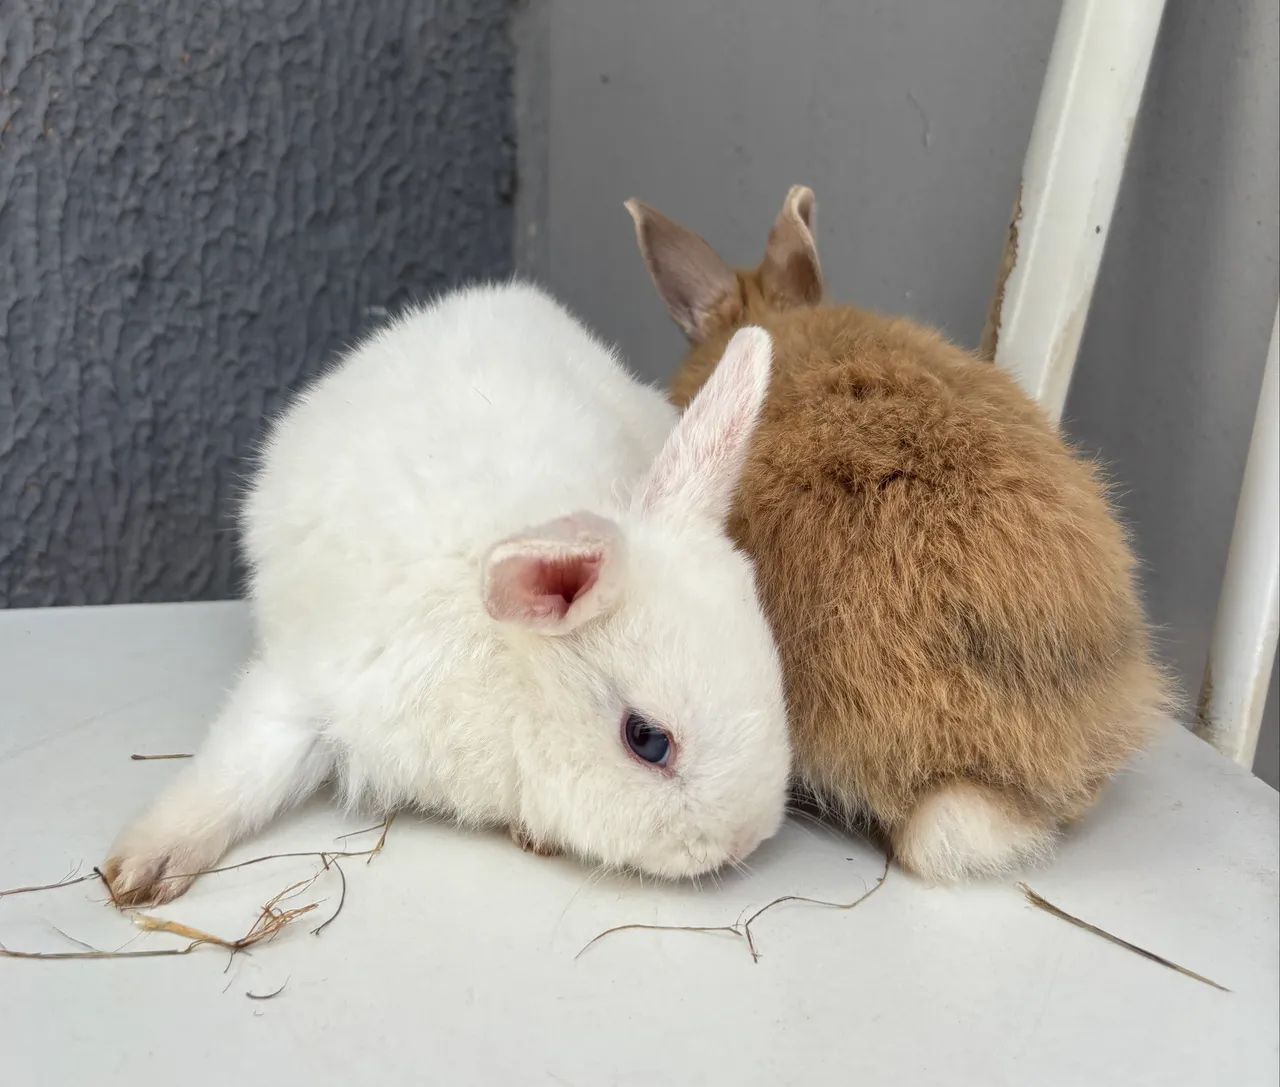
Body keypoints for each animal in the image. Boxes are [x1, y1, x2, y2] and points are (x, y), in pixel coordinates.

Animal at [103, 282, 791, 906]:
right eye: (646, 739)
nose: (745, 841)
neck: (510, 665)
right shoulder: (318, 682)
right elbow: (241, 770)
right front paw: (142, 869)